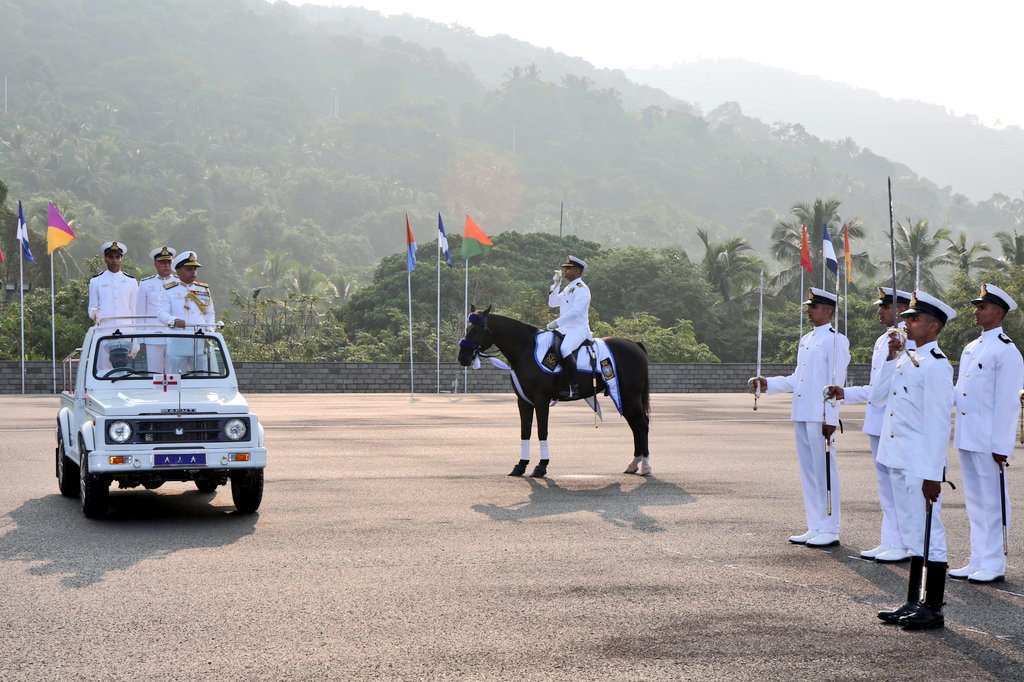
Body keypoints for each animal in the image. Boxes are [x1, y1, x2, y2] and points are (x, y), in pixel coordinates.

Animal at [460, 305, 651, 475]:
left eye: (480, 327)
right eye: (468, 327)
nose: (462, 357)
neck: (525, 349)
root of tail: (634, 344)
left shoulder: (541, 400)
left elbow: (542, 431)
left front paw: (541, 467)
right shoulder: (523, 401)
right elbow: (525, 431)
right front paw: (521, 466)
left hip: (629, 396)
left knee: (642, 424)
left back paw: (645, 466)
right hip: (625, 398)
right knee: (635, 425)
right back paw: (634, 464)